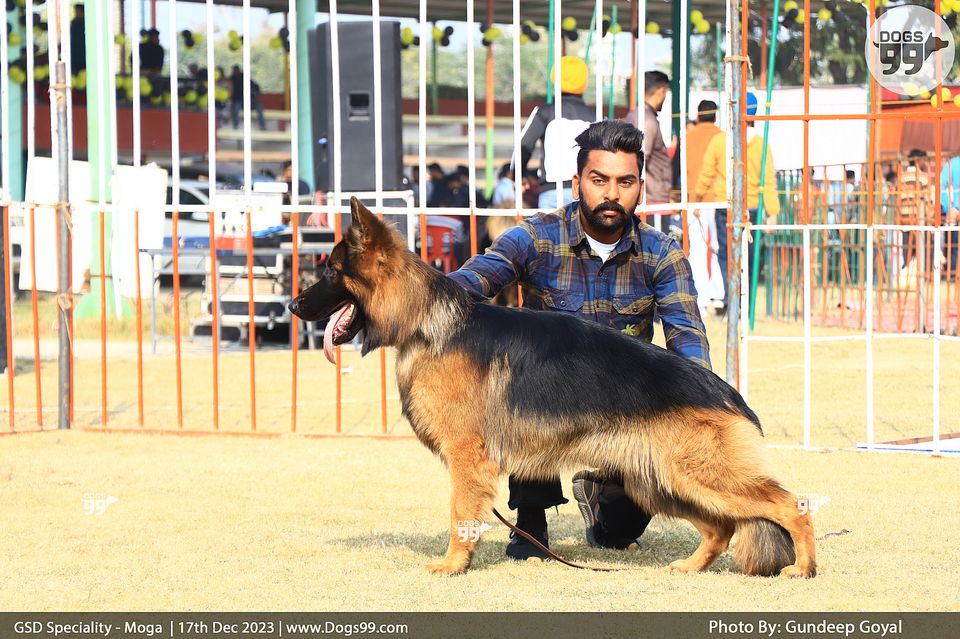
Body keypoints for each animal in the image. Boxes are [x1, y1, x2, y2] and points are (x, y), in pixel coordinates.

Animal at [288, 198, 817, 578]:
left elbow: (460, 515)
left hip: (693, 476)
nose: (292, 306)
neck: (425, 321)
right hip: (661, 481)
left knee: (791, 506)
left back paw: (803, 568)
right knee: (721, 527)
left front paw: (454, 566)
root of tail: (728, 394)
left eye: (331, 271)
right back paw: (691, 566)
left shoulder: (466, 457)